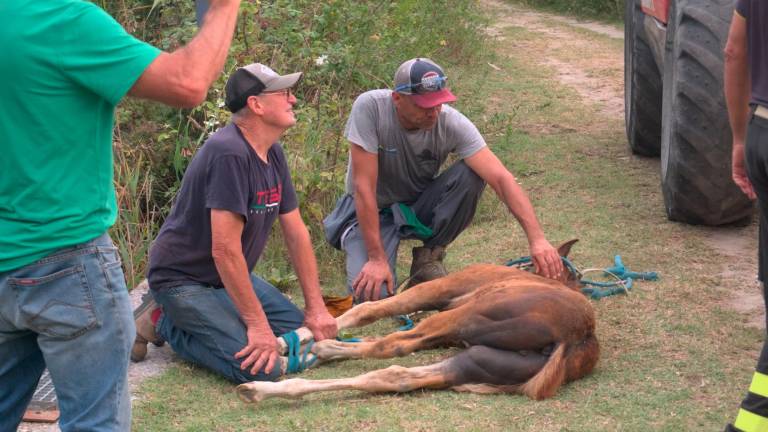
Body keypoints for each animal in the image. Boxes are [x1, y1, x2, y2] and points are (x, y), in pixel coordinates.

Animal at [237, 241, 596, 404]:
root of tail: (576, 337)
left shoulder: (436, 290)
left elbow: (364, 311)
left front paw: (282, 342)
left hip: (466, 316)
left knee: (392, 349)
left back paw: (272, 376)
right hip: (478, 361)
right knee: (396, 374)